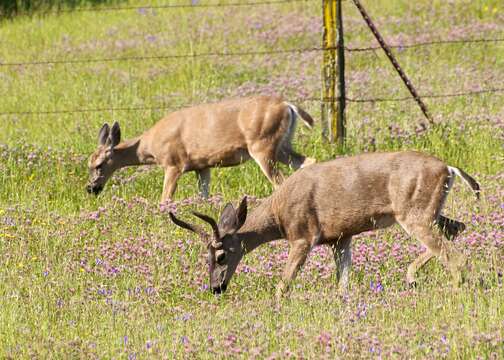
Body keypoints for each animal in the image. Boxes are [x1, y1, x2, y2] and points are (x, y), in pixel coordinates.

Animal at [86, 95, 316, 202]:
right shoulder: (202, 166)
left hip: (263, 144)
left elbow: (165, 199)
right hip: (282, 146)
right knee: (307, 161)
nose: (90, 188)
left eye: (98, 164)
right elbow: (203, 196)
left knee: (280, 181)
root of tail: (287, 105)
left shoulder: (174, 163)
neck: (149, 147)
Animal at [170, 151, 480, 298]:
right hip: (430, 212)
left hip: (413, 213)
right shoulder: (340, 238)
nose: (215, 288)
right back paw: (413, 276)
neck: (279, 214)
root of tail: (449, 168)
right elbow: (342, 283)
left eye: (222, 255)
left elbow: (283, 284)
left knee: (456, 257)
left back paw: (436, 284)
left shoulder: (302, 236)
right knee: (457, 228)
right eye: (206, 257)